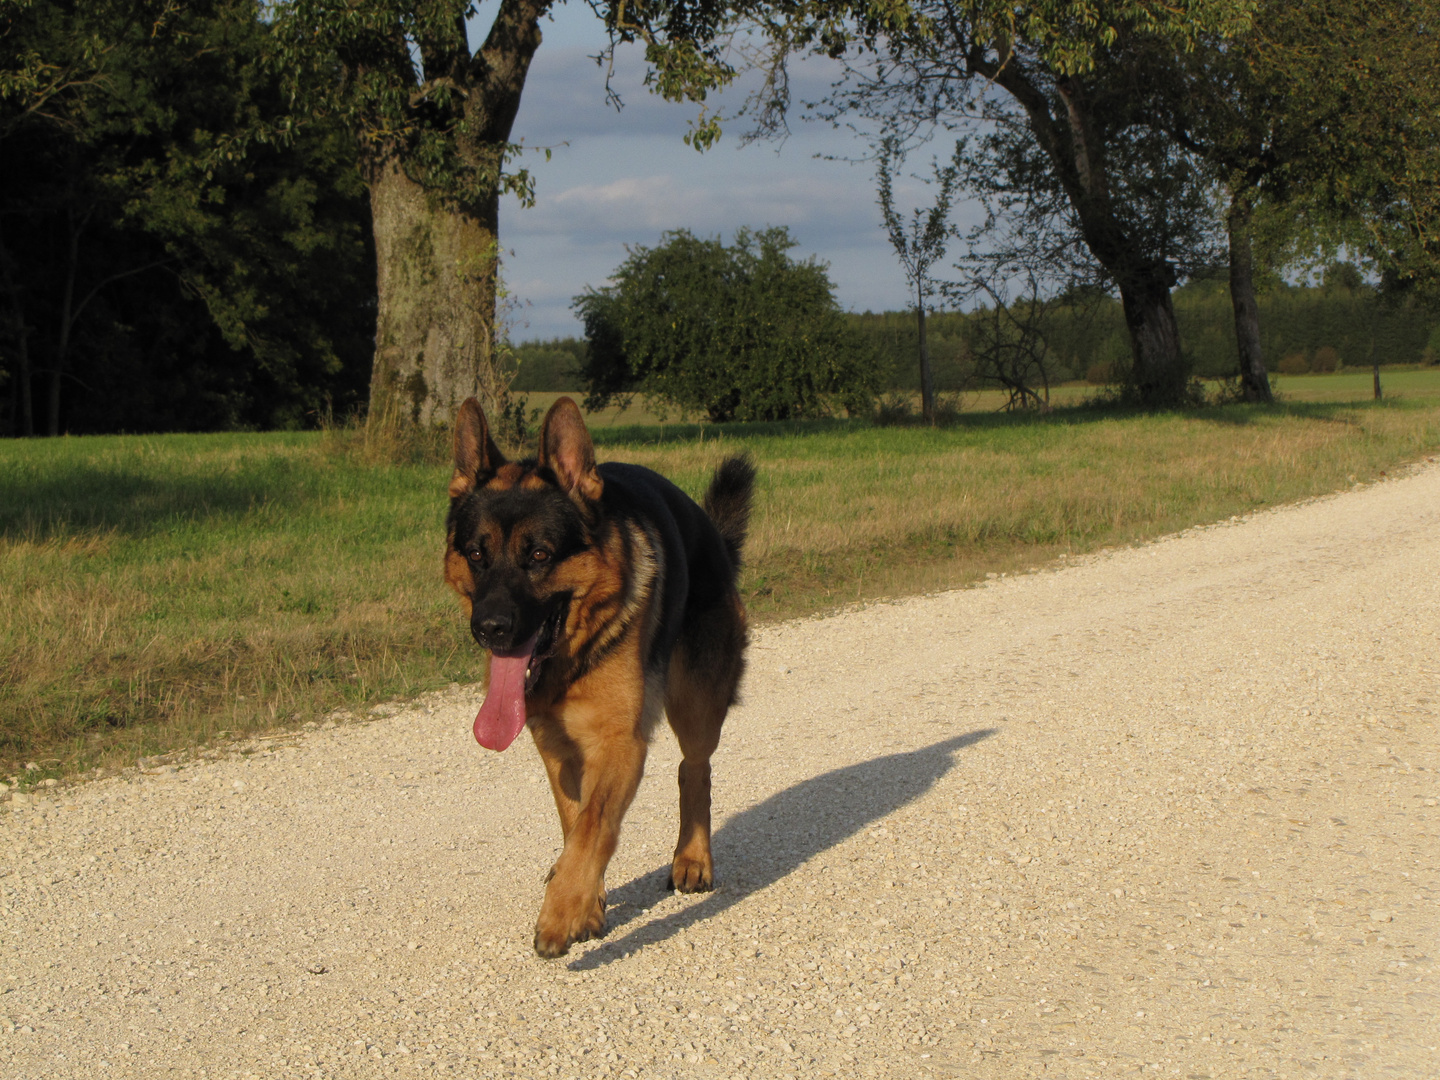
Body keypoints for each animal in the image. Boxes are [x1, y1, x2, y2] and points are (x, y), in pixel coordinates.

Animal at [440, 394, 754, 956]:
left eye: (539, 554)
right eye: (476, 554)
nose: (490, 629)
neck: (572, 659)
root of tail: (712, 534)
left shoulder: (619, 742)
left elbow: (593, 827)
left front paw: (561, 913)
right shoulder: (558, 748)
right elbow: (575, 823)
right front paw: (585, 903)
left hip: (696, 706)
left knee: (694, 769)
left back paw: (693, 859)